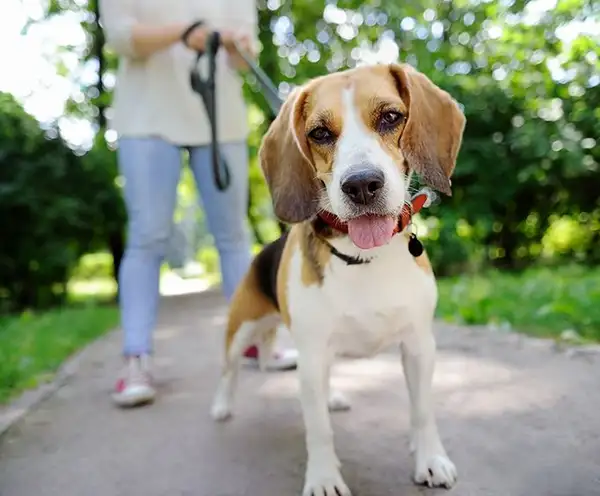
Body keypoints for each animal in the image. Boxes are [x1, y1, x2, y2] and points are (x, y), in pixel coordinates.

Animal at [211, 64, 468, 494]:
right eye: (319, 133)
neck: (364, 257)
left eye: (391, 117)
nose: (361, 184)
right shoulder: (312, 353)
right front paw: (324, 477)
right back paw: (222, 405)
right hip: (241, 330)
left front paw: (430, 458)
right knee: (229, 371)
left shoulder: (419, 346)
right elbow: (318, 430)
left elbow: (422, 411)